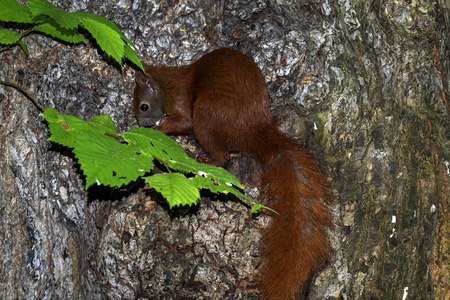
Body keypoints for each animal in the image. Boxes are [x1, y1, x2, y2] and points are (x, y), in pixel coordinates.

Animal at [132, 48, 332, 298]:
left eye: (144, 106)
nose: (141, 125)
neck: (167, 84)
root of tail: (251, 130)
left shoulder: (179, 100)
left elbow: (183, 122)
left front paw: (160, 128)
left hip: (205, 115)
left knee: (222, 155)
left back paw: (205, 160)